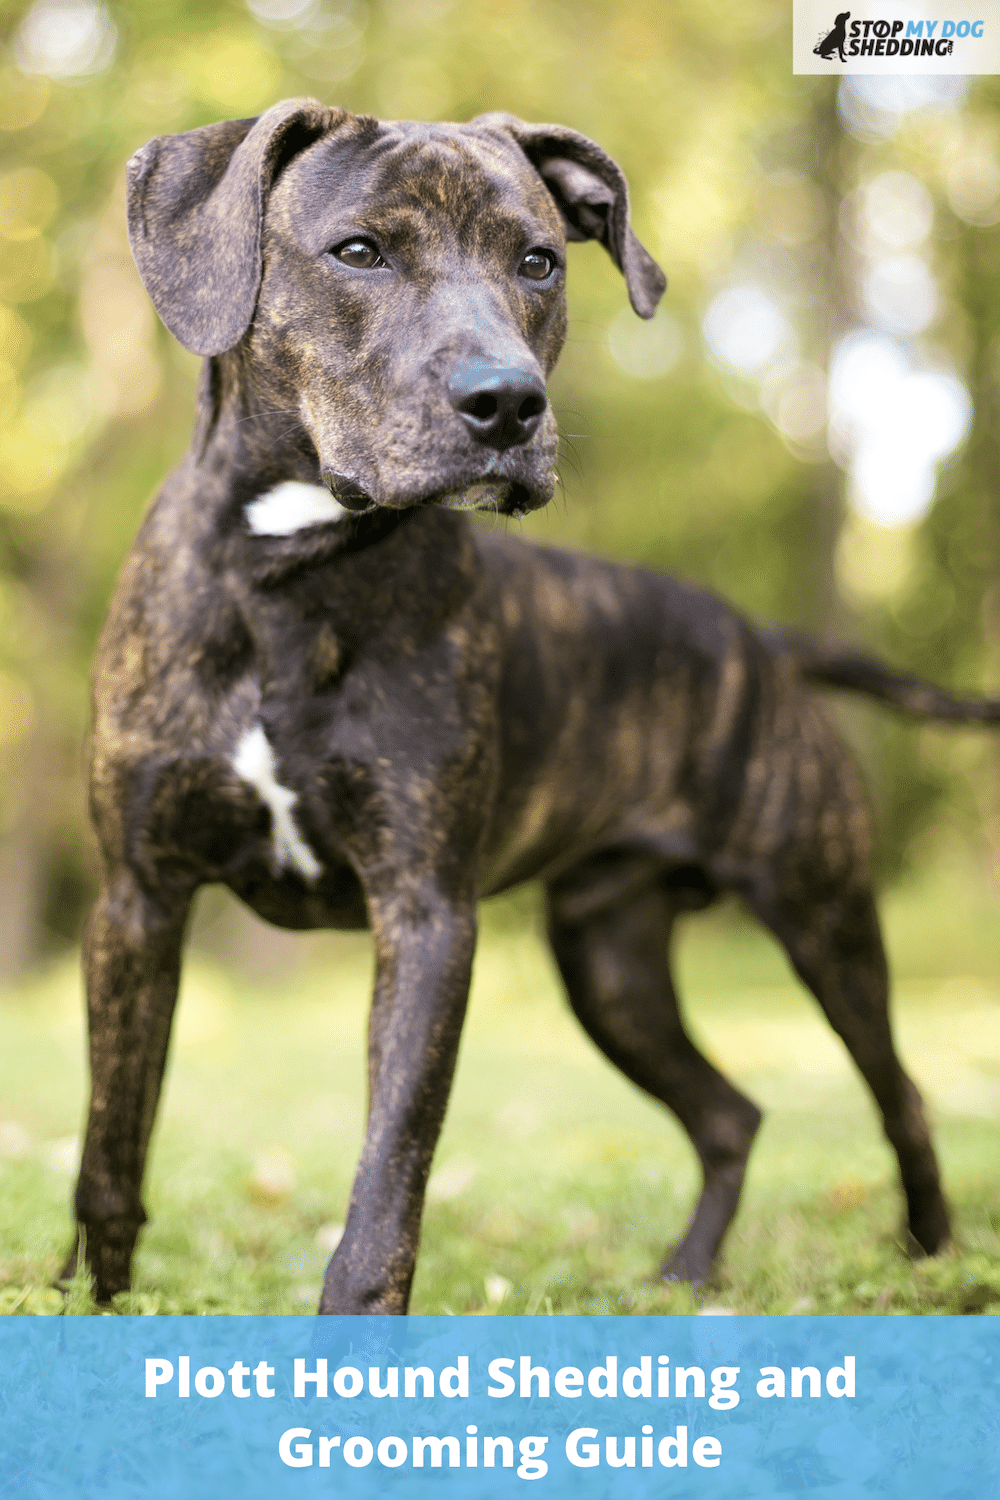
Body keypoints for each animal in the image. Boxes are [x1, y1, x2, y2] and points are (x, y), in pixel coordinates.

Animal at [66, 96, 995, 1314]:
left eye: (539, 262)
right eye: (359, 250)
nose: (509, 402)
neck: (286, 571)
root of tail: (762, 641)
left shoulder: (425, 916)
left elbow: (389, 1176)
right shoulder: (138, 898)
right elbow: (109, 1148)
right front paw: (90, 1302)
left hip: (821, 916)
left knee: (899, 1092)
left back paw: (930, 1259)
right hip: (612, 962)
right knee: (730, 1112)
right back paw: (685, 1277)